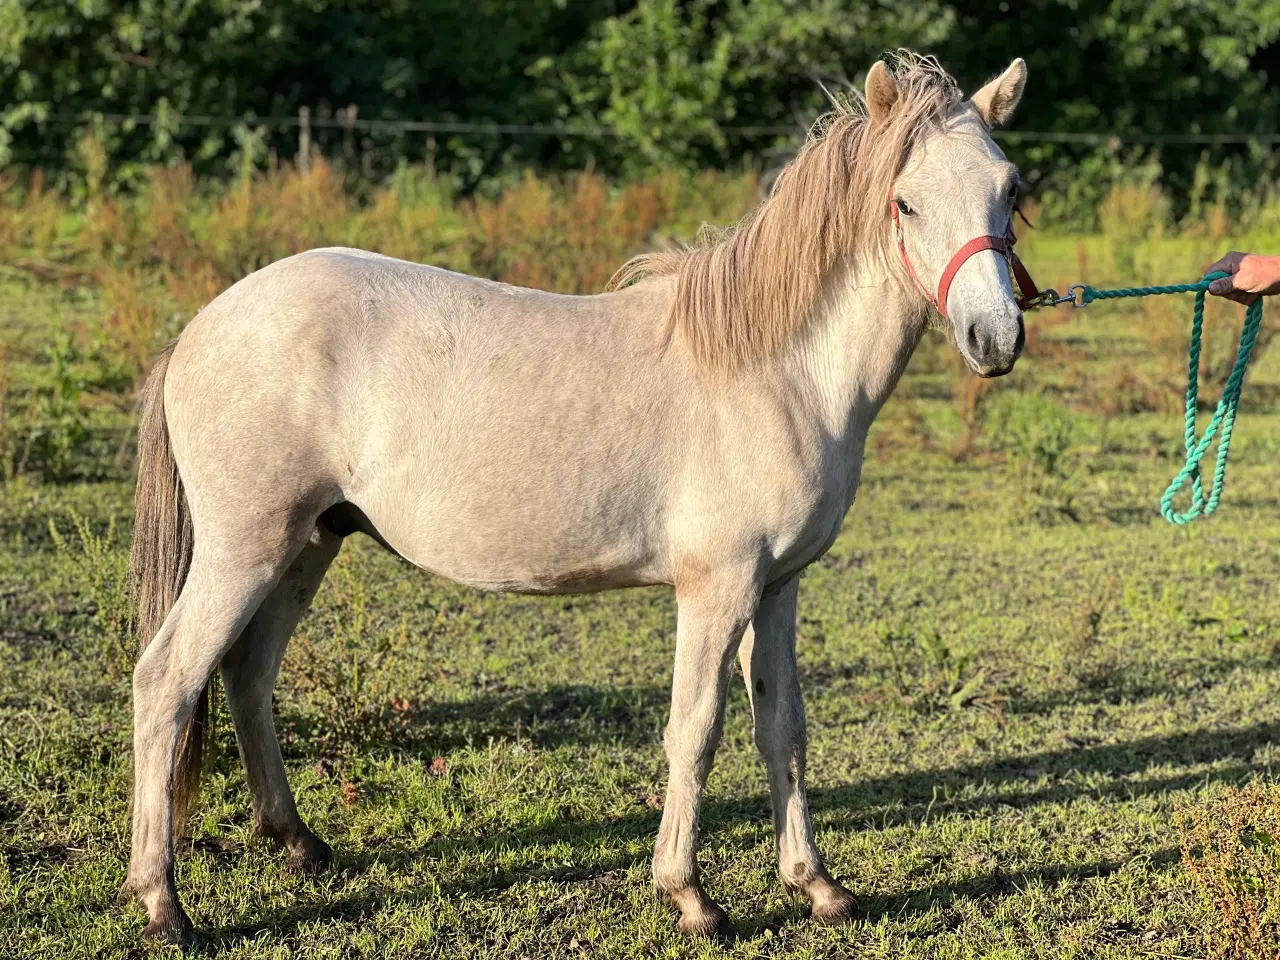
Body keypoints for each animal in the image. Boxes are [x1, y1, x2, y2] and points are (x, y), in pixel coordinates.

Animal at [122, 52, 1029, 947]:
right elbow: (695, 731)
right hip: (247, 549)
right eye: (905, 201)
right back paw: (164, 904)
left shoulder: (777, 589)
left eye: (1010, 188)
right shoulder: (717, 590)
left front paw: (817, 885)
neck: (776, 371)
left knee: (247, 675)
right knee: (168, 680)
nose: (996, 338)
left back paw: (298, 843)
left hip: (309, 543)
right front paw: (689, 896)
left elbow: (785, 730)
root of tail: (199, 329)